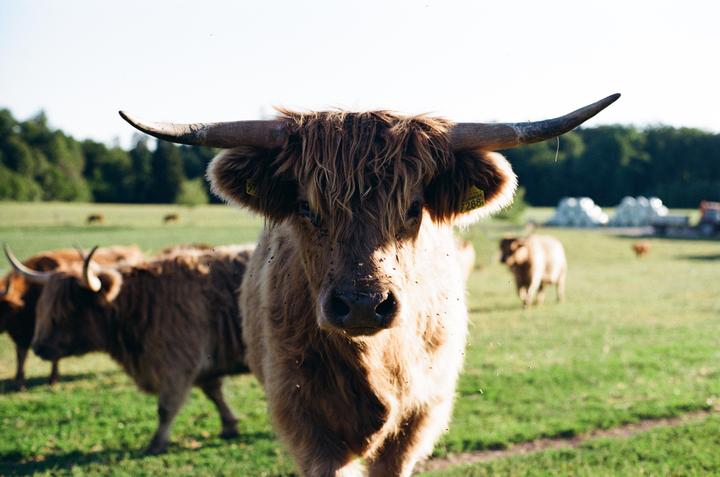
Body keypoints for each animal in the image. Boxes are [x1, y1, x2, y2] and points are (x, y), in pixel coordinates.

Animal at [29, 244, 254, 454]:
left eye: (70, 308)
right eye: (43, 307)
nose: (39, 347)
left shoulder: (177, 365)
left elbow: (166, 407)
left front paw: (157, 443)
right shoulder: (201, 364)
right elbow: (215, 394)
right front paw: (229, 426)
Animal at [121, 94, 618, 475]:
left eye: (414, 207)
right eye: (306, 207)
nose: (362, 304)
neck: (374, 360)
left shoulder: (420, 415)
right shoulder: (304, 420)